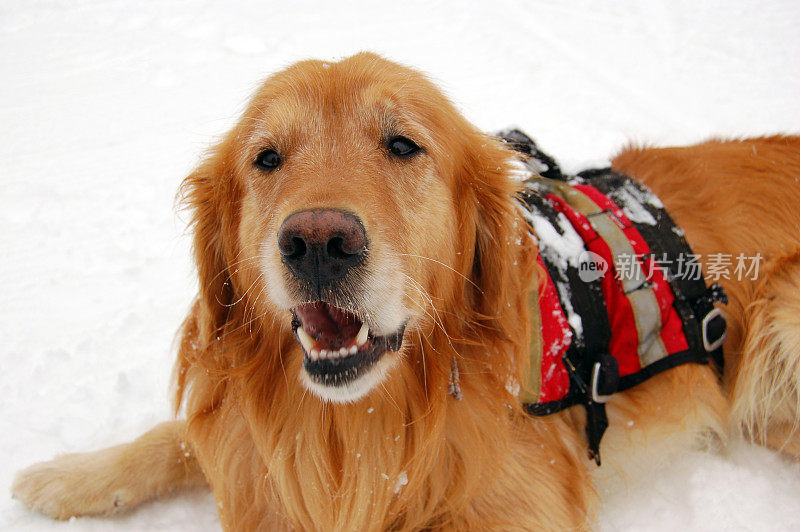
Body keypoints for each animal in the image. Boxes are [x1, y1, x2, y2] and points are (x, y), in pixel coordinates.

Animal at [9, 52, 800, 528]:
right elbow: (184, 437)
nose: (317, 242)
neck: (356, 424)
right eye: (266, 158)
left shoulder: (520, 502)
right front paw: (73, 476)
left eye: (402, 145)